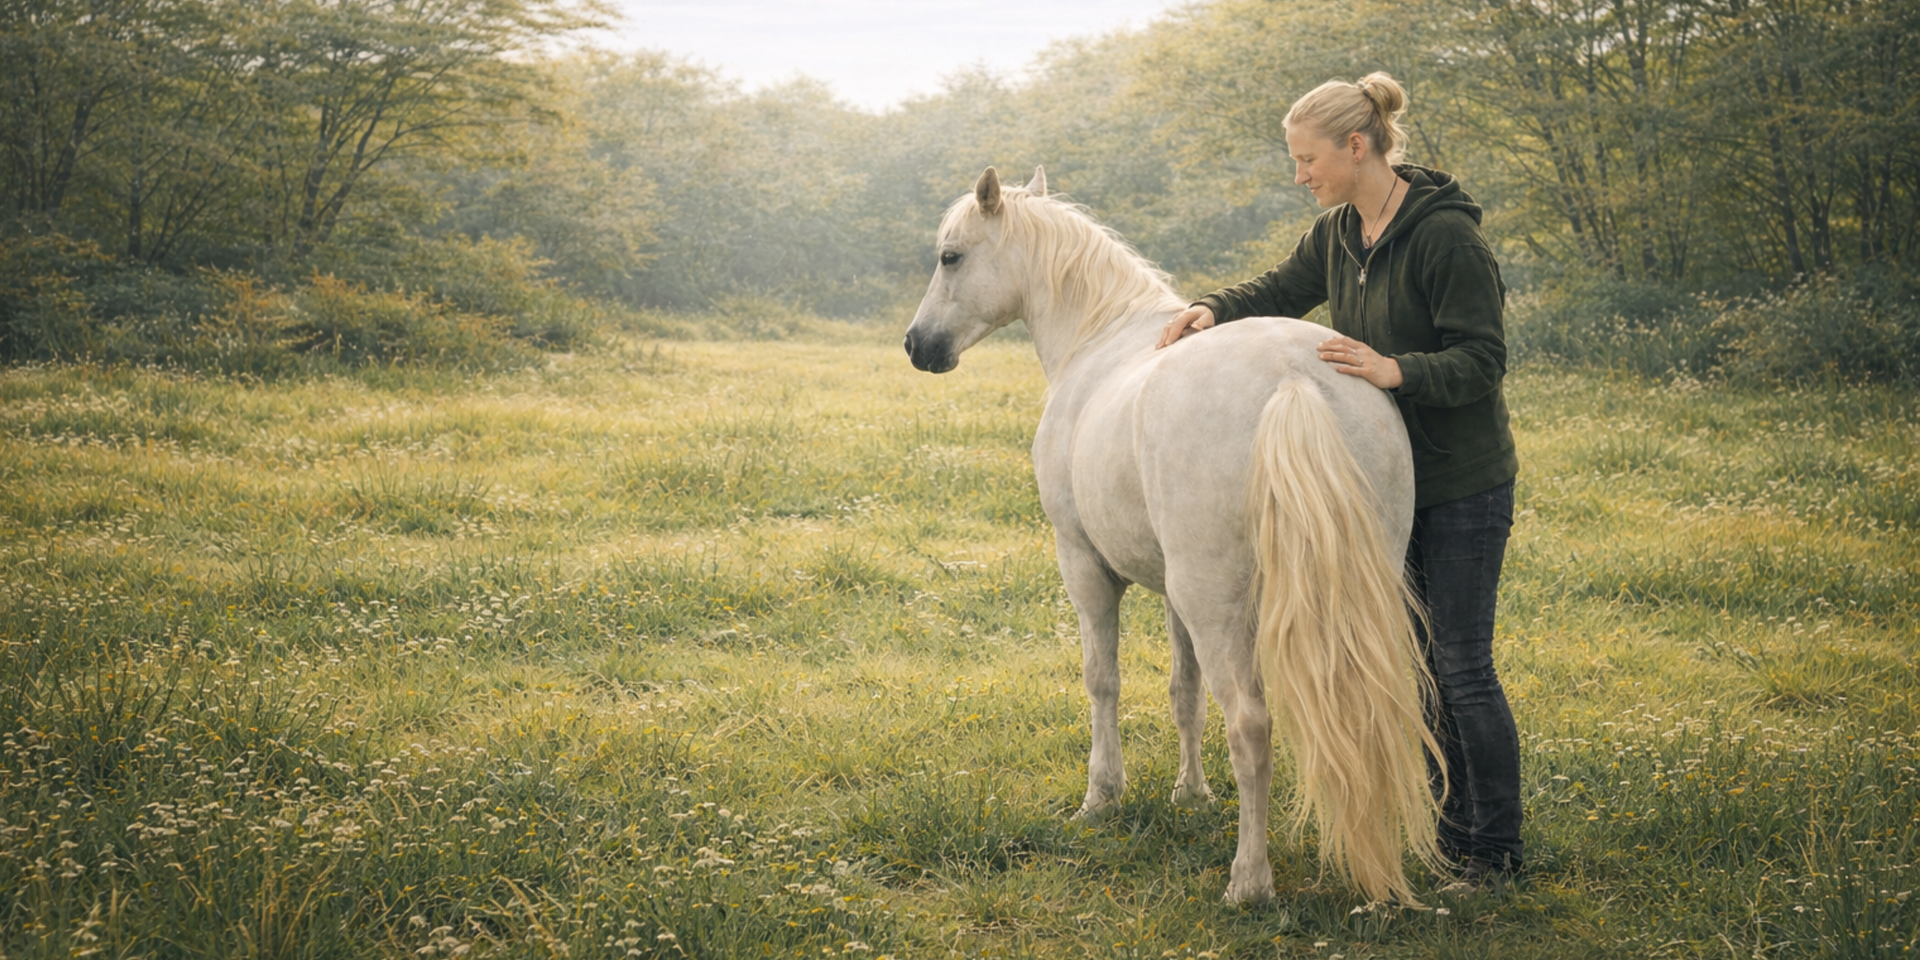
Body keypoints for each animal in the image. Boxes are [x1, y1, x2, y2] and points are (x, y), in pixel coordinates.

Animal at [902, 166, 1448, 905]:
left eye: (951, 256)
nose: (917, 345)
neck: (1099, 340)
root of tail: (1294, 379)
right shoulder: (1171, 592)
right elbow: (1184, 690)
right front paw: (1191, 793)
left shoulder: (1086, 567)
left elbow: (1102, 680)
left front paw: (1102, 797)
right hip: (1347, 588)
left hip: (1214, 598)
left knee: (1251, 725)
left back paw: (1249, 881)